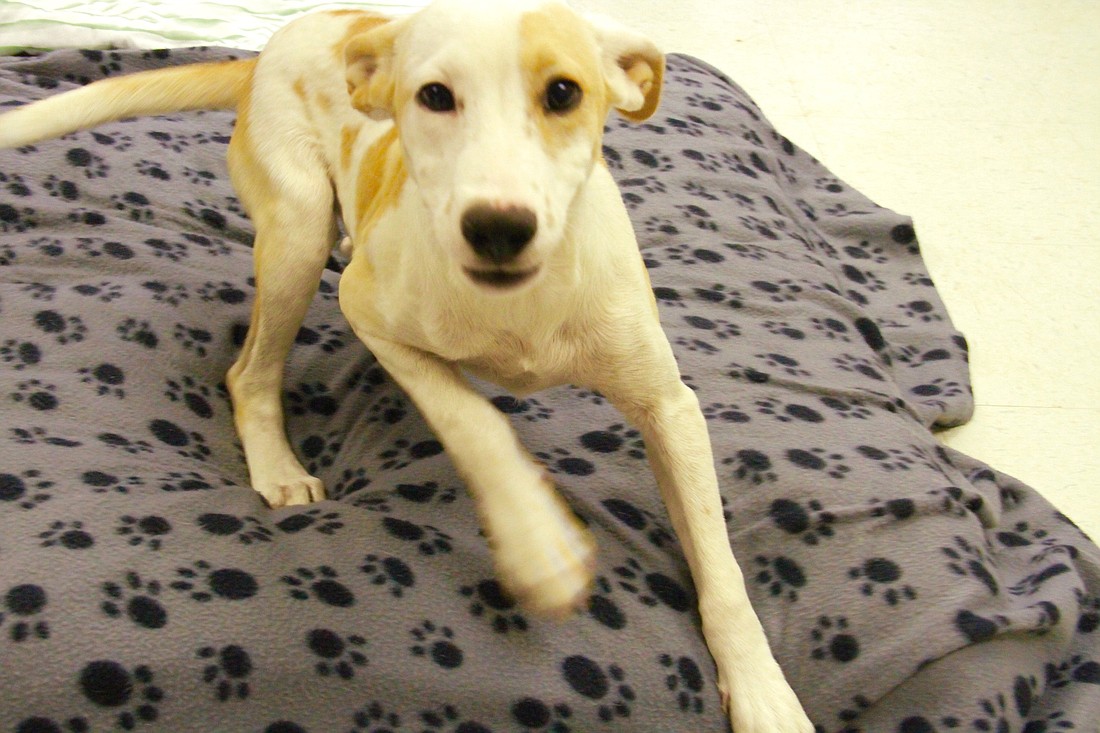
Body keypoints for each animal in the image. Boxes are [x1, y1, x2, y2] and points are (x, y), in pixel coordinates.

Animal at [0, 2, 809, 726]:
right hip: (295, 228)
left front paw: (764, 694)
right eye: (435, 97)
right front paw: (538, 542)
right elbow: (476, 419)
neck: (519, 308)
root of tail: (270, 48)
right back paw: (277, 466)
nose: (496, 228)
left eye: (564, 93)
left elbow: (722, 567)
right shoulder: (370, 313)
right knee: (248, 372)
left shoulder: (669, 406)